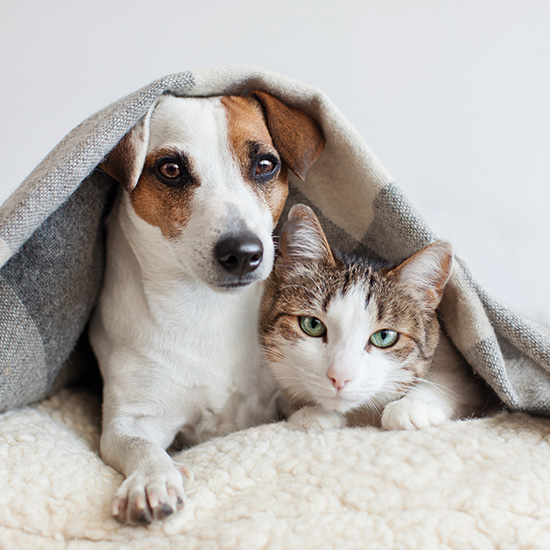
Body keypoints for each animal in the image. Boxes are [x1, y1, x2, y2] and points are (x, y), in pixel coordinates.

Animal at [88, 89, 326, 528]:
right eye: (170, 169)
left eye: (265, 165)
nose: (243, 252)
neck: (206, 309)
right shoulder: (129, 420)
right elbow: (139, 446)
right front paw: (151, 480)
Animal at [260, 205, 490, 434]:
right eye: (312, 325)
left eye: (385, 336)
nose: (340, 377)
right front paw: (311, 414)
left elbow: (453, 382)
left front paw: (412, 406)